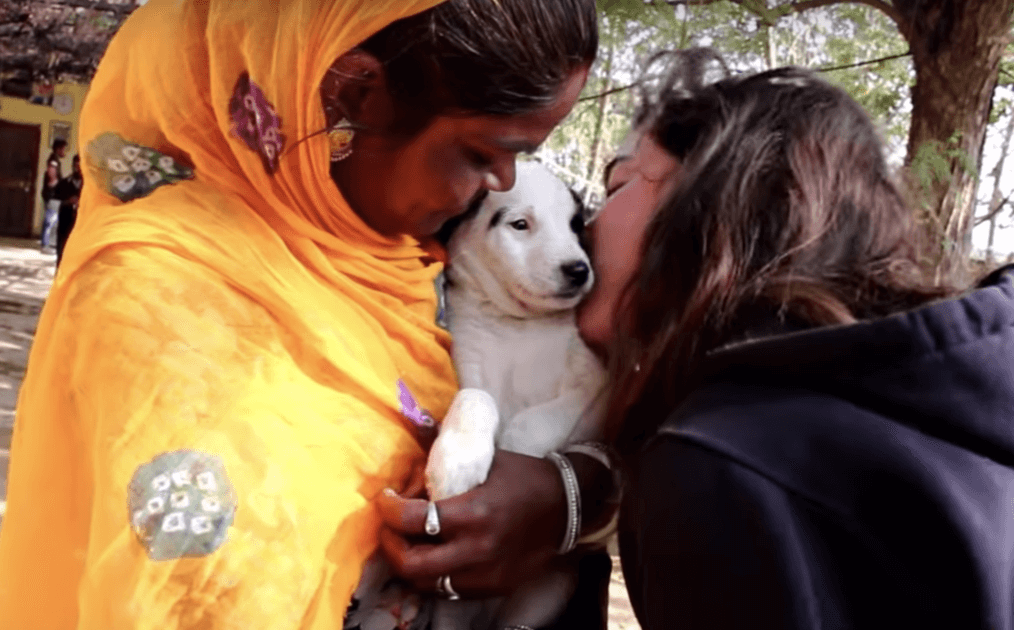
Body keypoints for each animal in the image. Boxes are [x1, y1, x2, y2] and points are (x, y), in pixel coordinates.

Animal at [425, 161, 604, 628]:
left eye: (575, 226)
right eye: (520, 224)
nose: (578, 270)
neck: (520, 325)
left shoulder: (597, 380)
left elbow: (541, 418)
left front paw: (518, 453)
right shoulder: (467, 365)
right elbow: (477, 398)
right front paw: (457, 461)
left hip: (546, 592)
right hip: (450, 612)